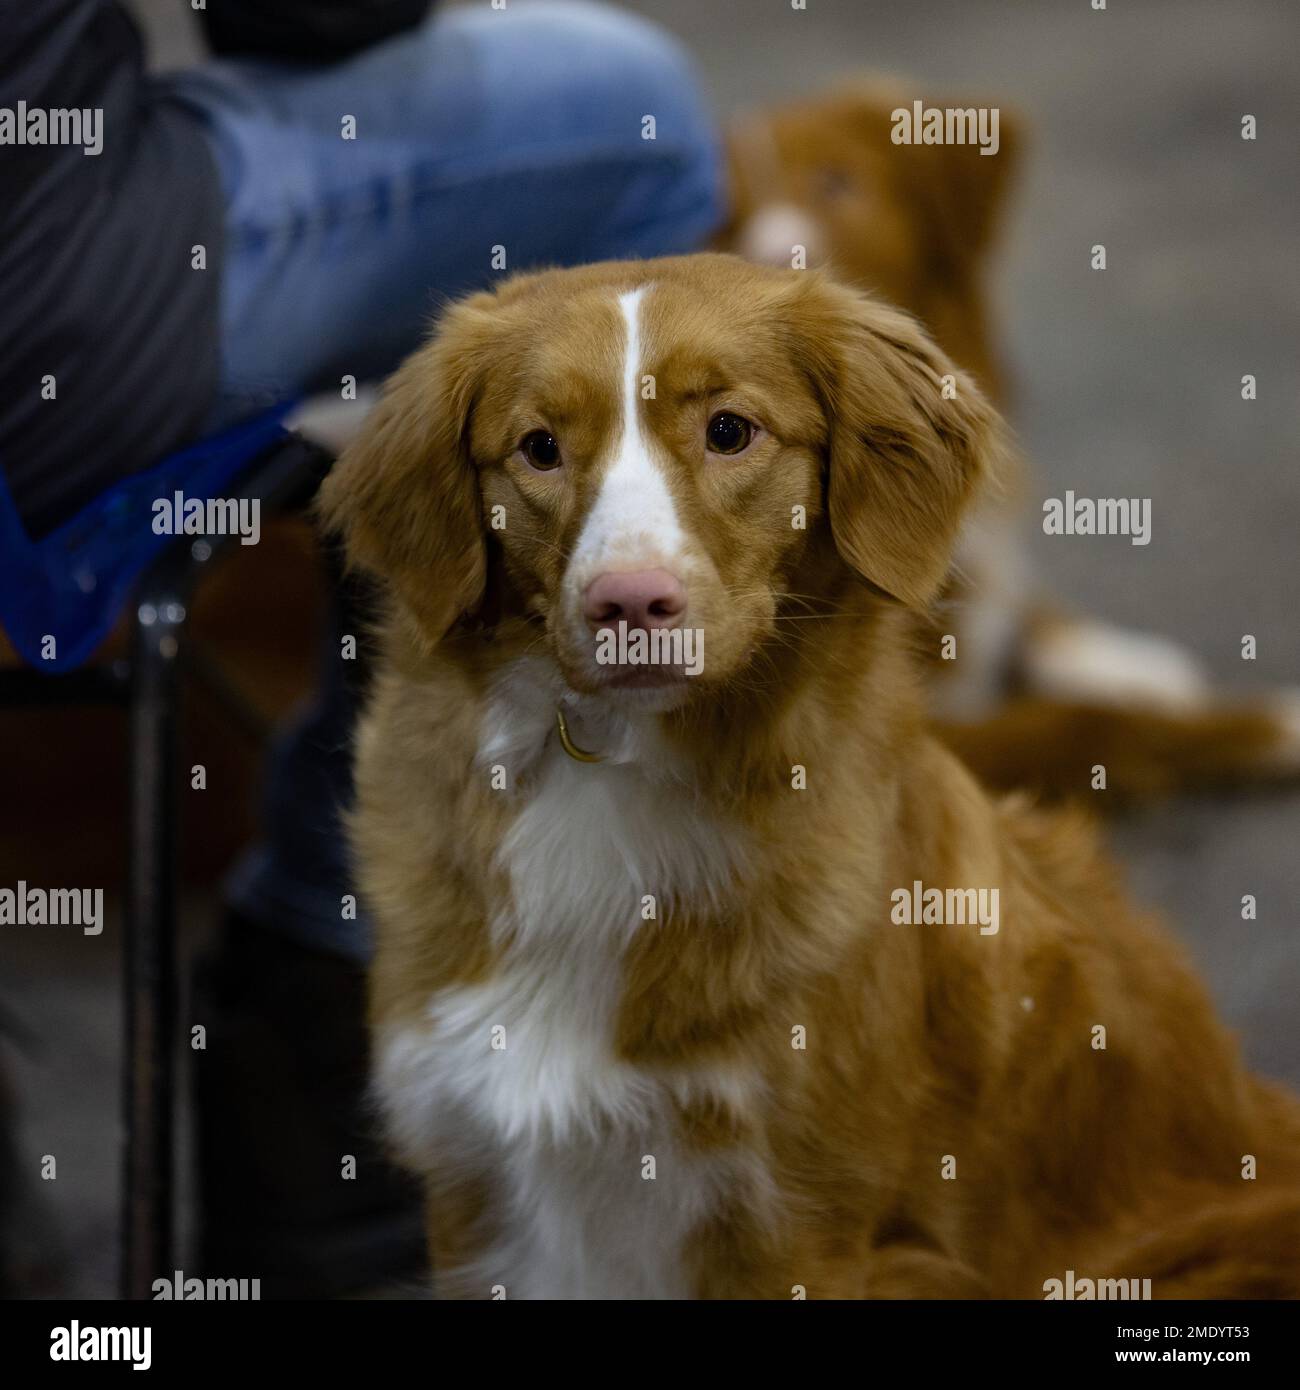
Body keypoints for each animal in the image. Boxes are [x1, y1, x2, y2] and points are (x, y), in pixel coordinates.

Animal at [318, 252, 1300, 1301]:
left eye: (730, 431)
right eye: (539, 449)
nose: (629, 603)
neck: (615, 770)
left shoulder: (799, 1229)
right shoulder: (473, 1195)